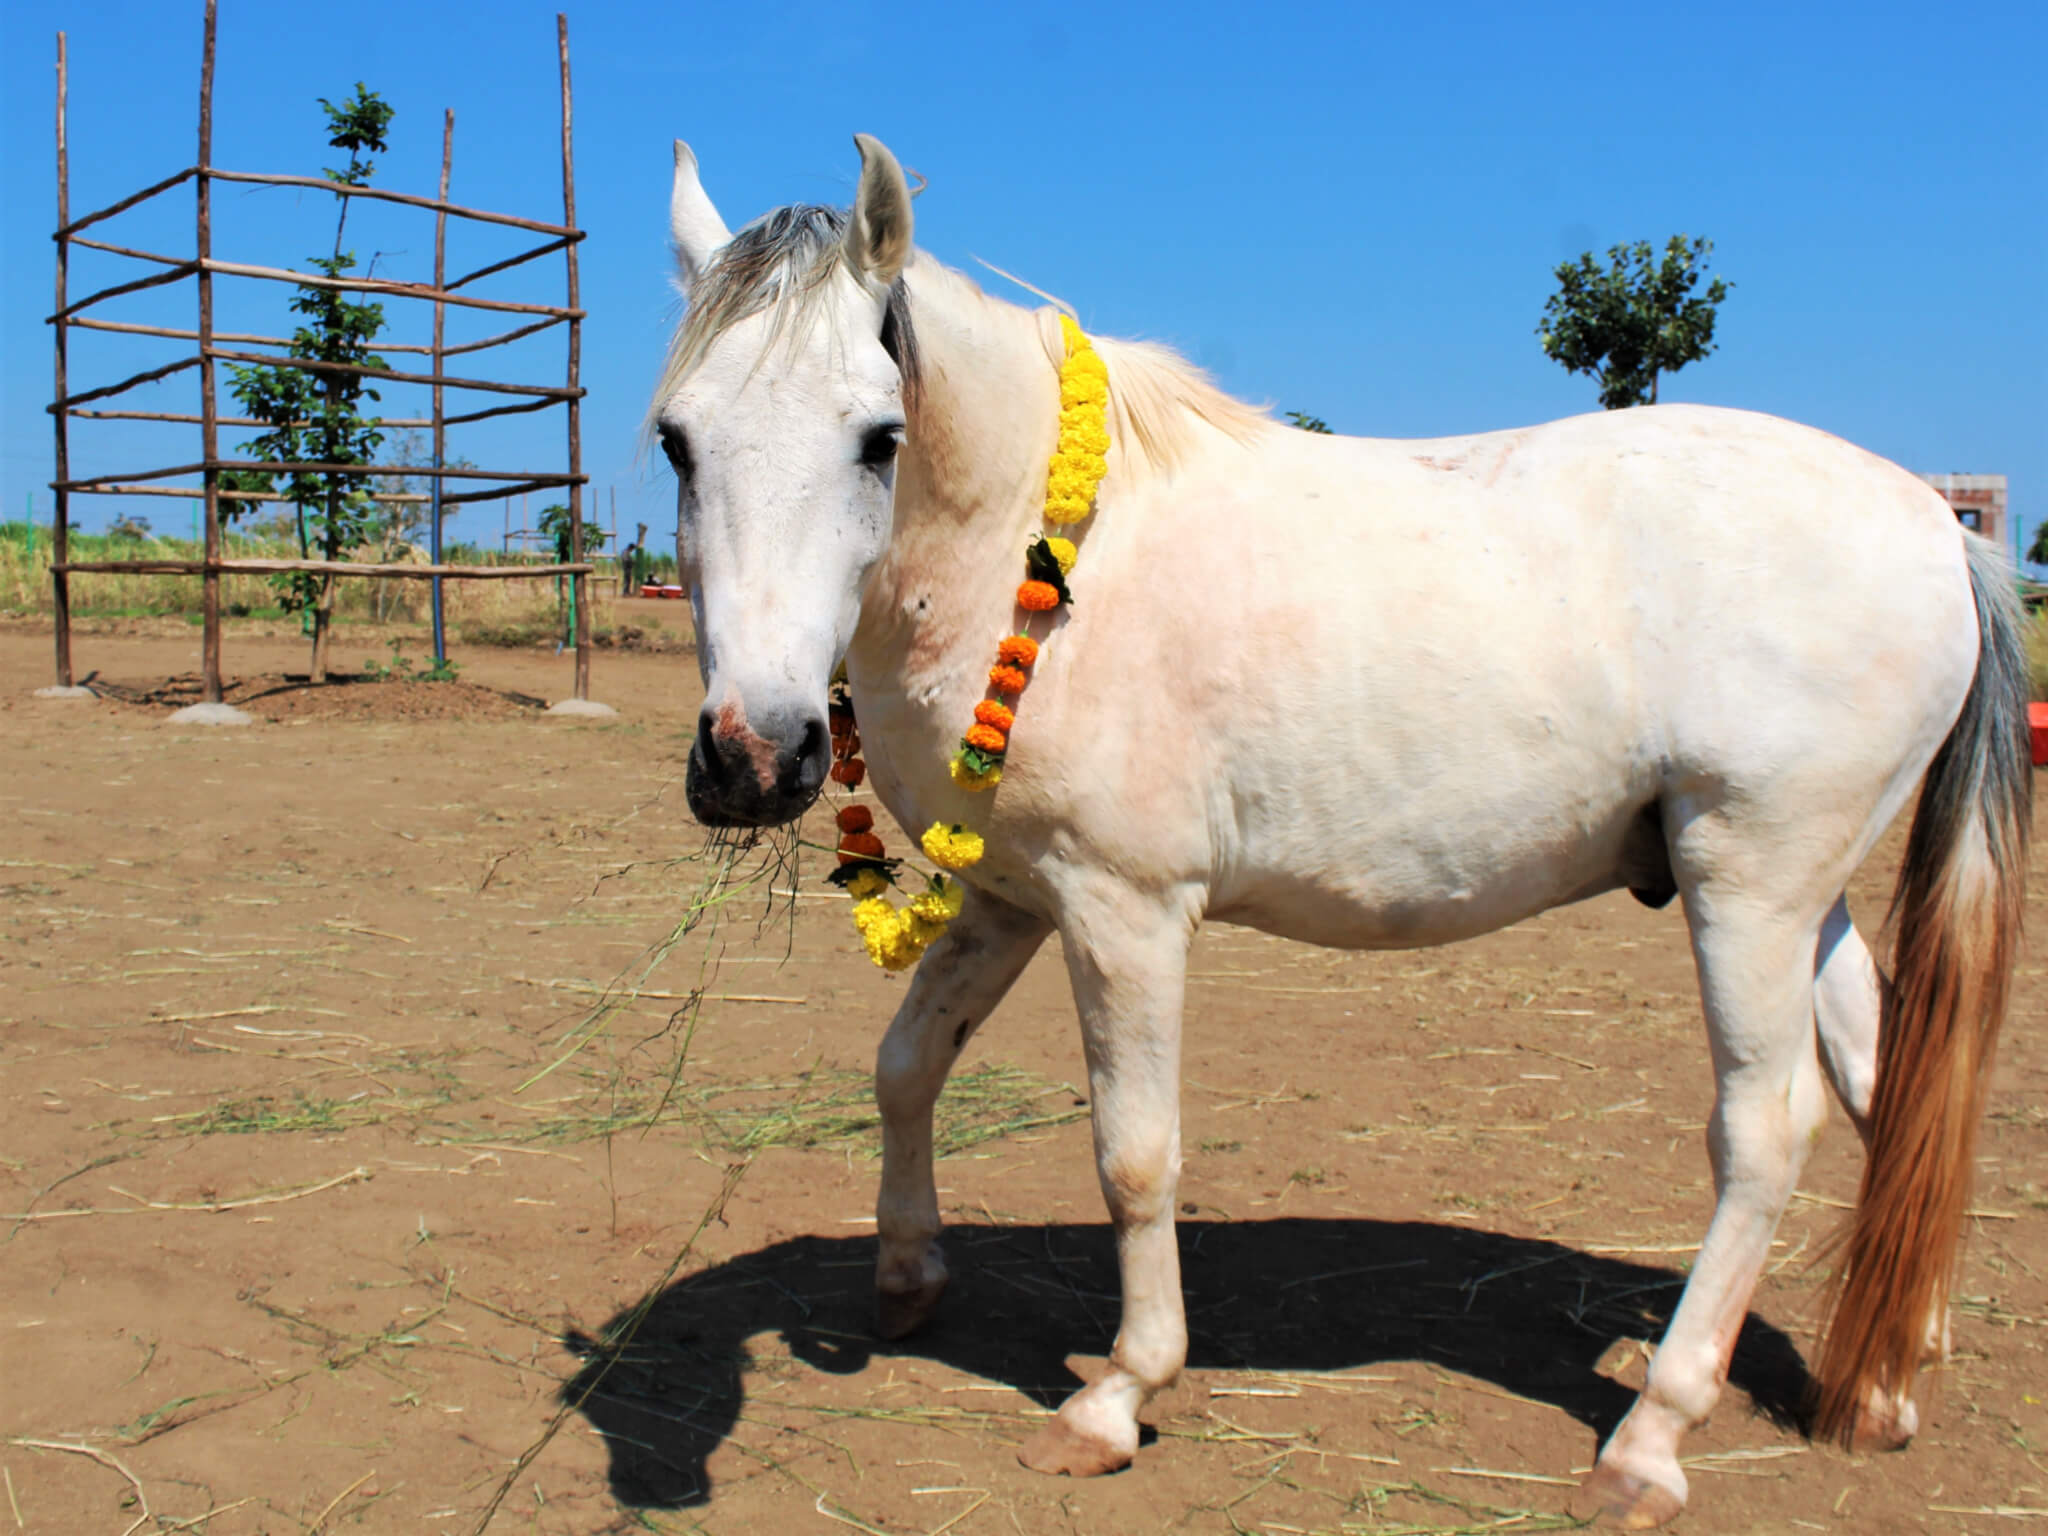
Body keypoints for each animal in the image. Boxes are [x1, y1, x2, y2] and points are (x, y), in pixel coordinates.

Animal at [655, 135, 2031, 1531]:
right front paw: (906, 1273)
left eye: (877, 438)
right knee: (1882, 1083)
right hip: (1808, 897)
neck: (1033, 553)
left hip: (1746, 881)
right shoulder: (1007, 899)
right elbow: (904, 1063)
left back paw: (1655, 1433)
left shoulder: (1122, 912)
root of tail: (1935, 523)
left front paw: (1118, 1395)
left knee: (1765, 1129)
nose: (754, 758)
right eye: (675, 442)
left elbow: (1132, 1155)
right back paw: (1885, 1375)